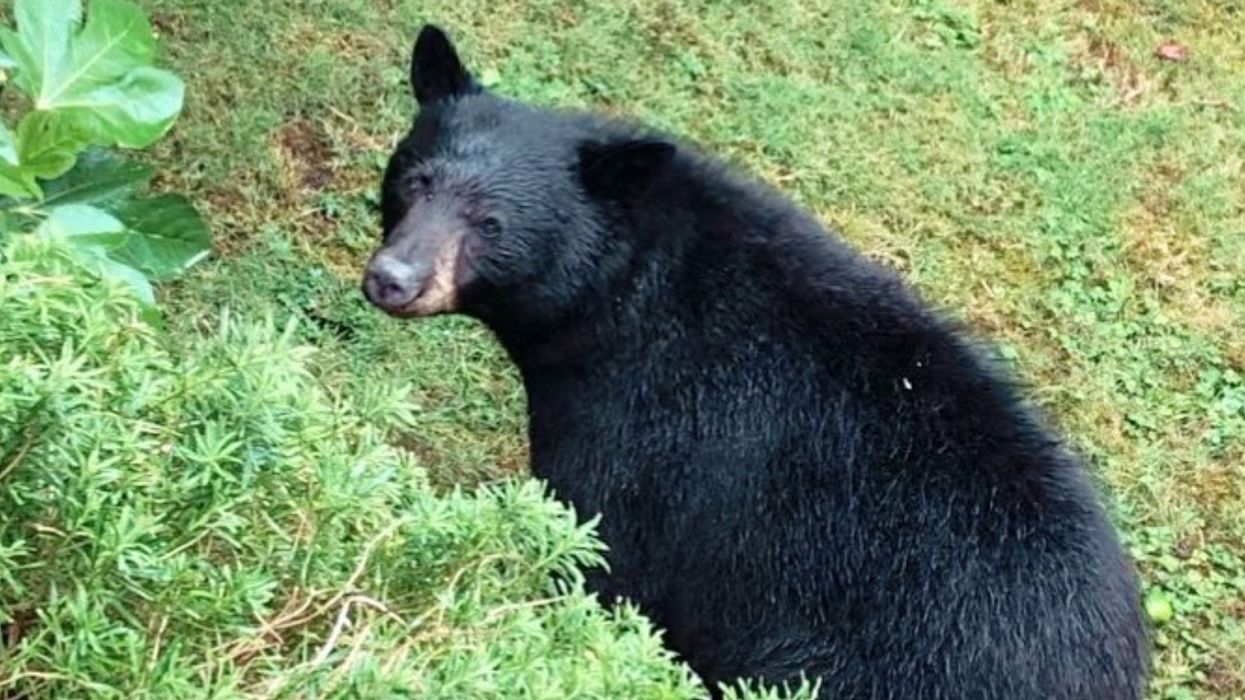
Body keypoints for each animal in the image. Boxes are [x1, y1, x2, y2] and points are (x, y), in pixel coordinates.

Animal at [362, 25, 1150, 700]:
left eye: (491, 224)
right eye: (414, 181)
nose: (393, 278)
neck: (625, 303)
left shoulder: (654, 437)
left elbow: (603, 548)